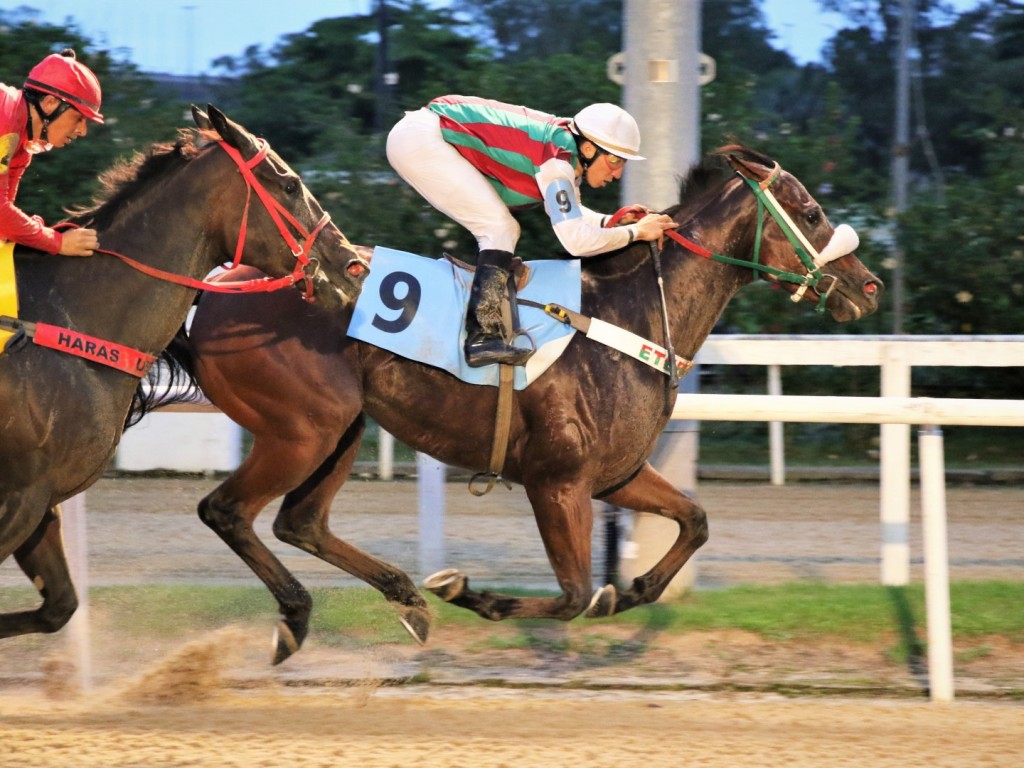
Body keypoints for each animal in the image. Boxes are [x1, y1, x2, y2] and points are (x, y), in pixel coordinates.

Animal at [0, 102, 368, 643]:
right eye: (289, 184)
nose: (352, 266)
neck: (64, 320)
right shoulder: (18, 496)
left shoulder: (40, 497)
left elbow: (59, 607)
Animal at [165, 147, 880, 663]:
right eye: (811, 213)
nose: (869, 286)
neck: (628, 318)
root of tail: (213, 289)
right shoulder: (556, 481)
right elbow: (571, 596)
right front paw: (469, 593)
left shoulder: (614, 475)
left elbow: (694, 522)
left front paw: (631, 591)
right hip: (302, 429)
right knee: (227, 510)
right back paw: (300, 617)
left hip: (340, 428)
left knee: (301, 521)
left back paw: (405, 600)